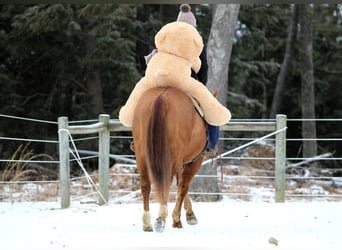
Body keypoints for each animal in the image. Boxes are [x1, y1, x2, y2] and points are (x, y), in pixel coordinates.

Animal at [131, 86, 206, 232]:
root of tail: (162, 96)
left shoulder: (182, 162)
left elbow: (181, 184)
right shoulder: (194, 161)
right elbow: (183, 186)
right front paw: (179, 218)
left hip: (142, 156)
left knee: (145, 185)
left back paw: (147, 223)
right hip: (173, 159)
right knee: (166, 183)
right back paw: (161, 218)